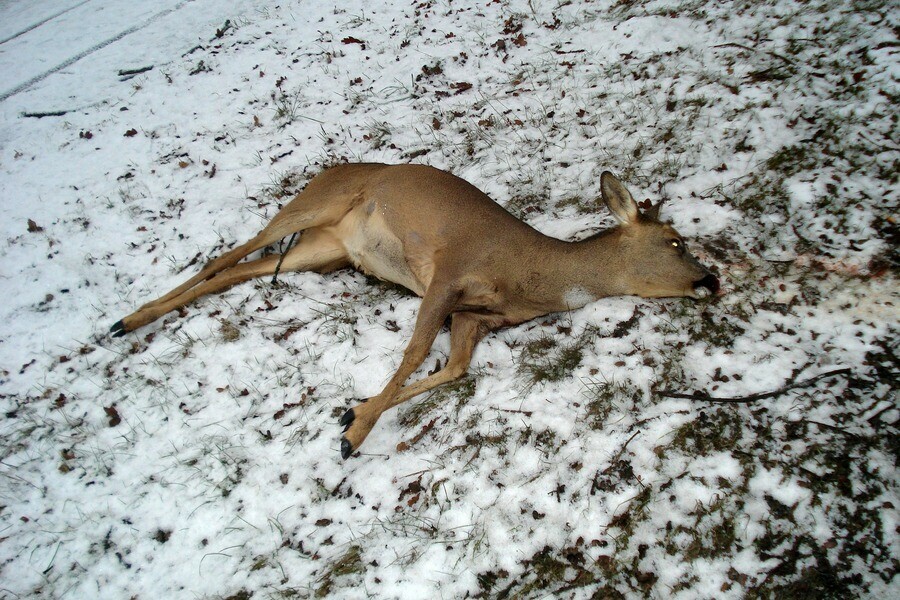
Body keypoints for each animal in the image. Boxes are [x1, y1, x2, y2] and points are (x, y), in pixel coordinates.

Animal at [110, 162, 716, 458]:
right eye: (675, 242)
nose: (711, 280)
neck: (533, 274)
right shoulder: (448, 272)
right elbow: (417, 349)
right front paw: (354, 435)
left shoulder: (476, 316)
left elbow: (454, 368)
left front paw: (352, 413)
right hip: (316, 203)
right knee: (229, 253)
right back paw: (126, 319)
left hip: (326, 251)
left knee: (239, 271)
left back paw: (131, 320)